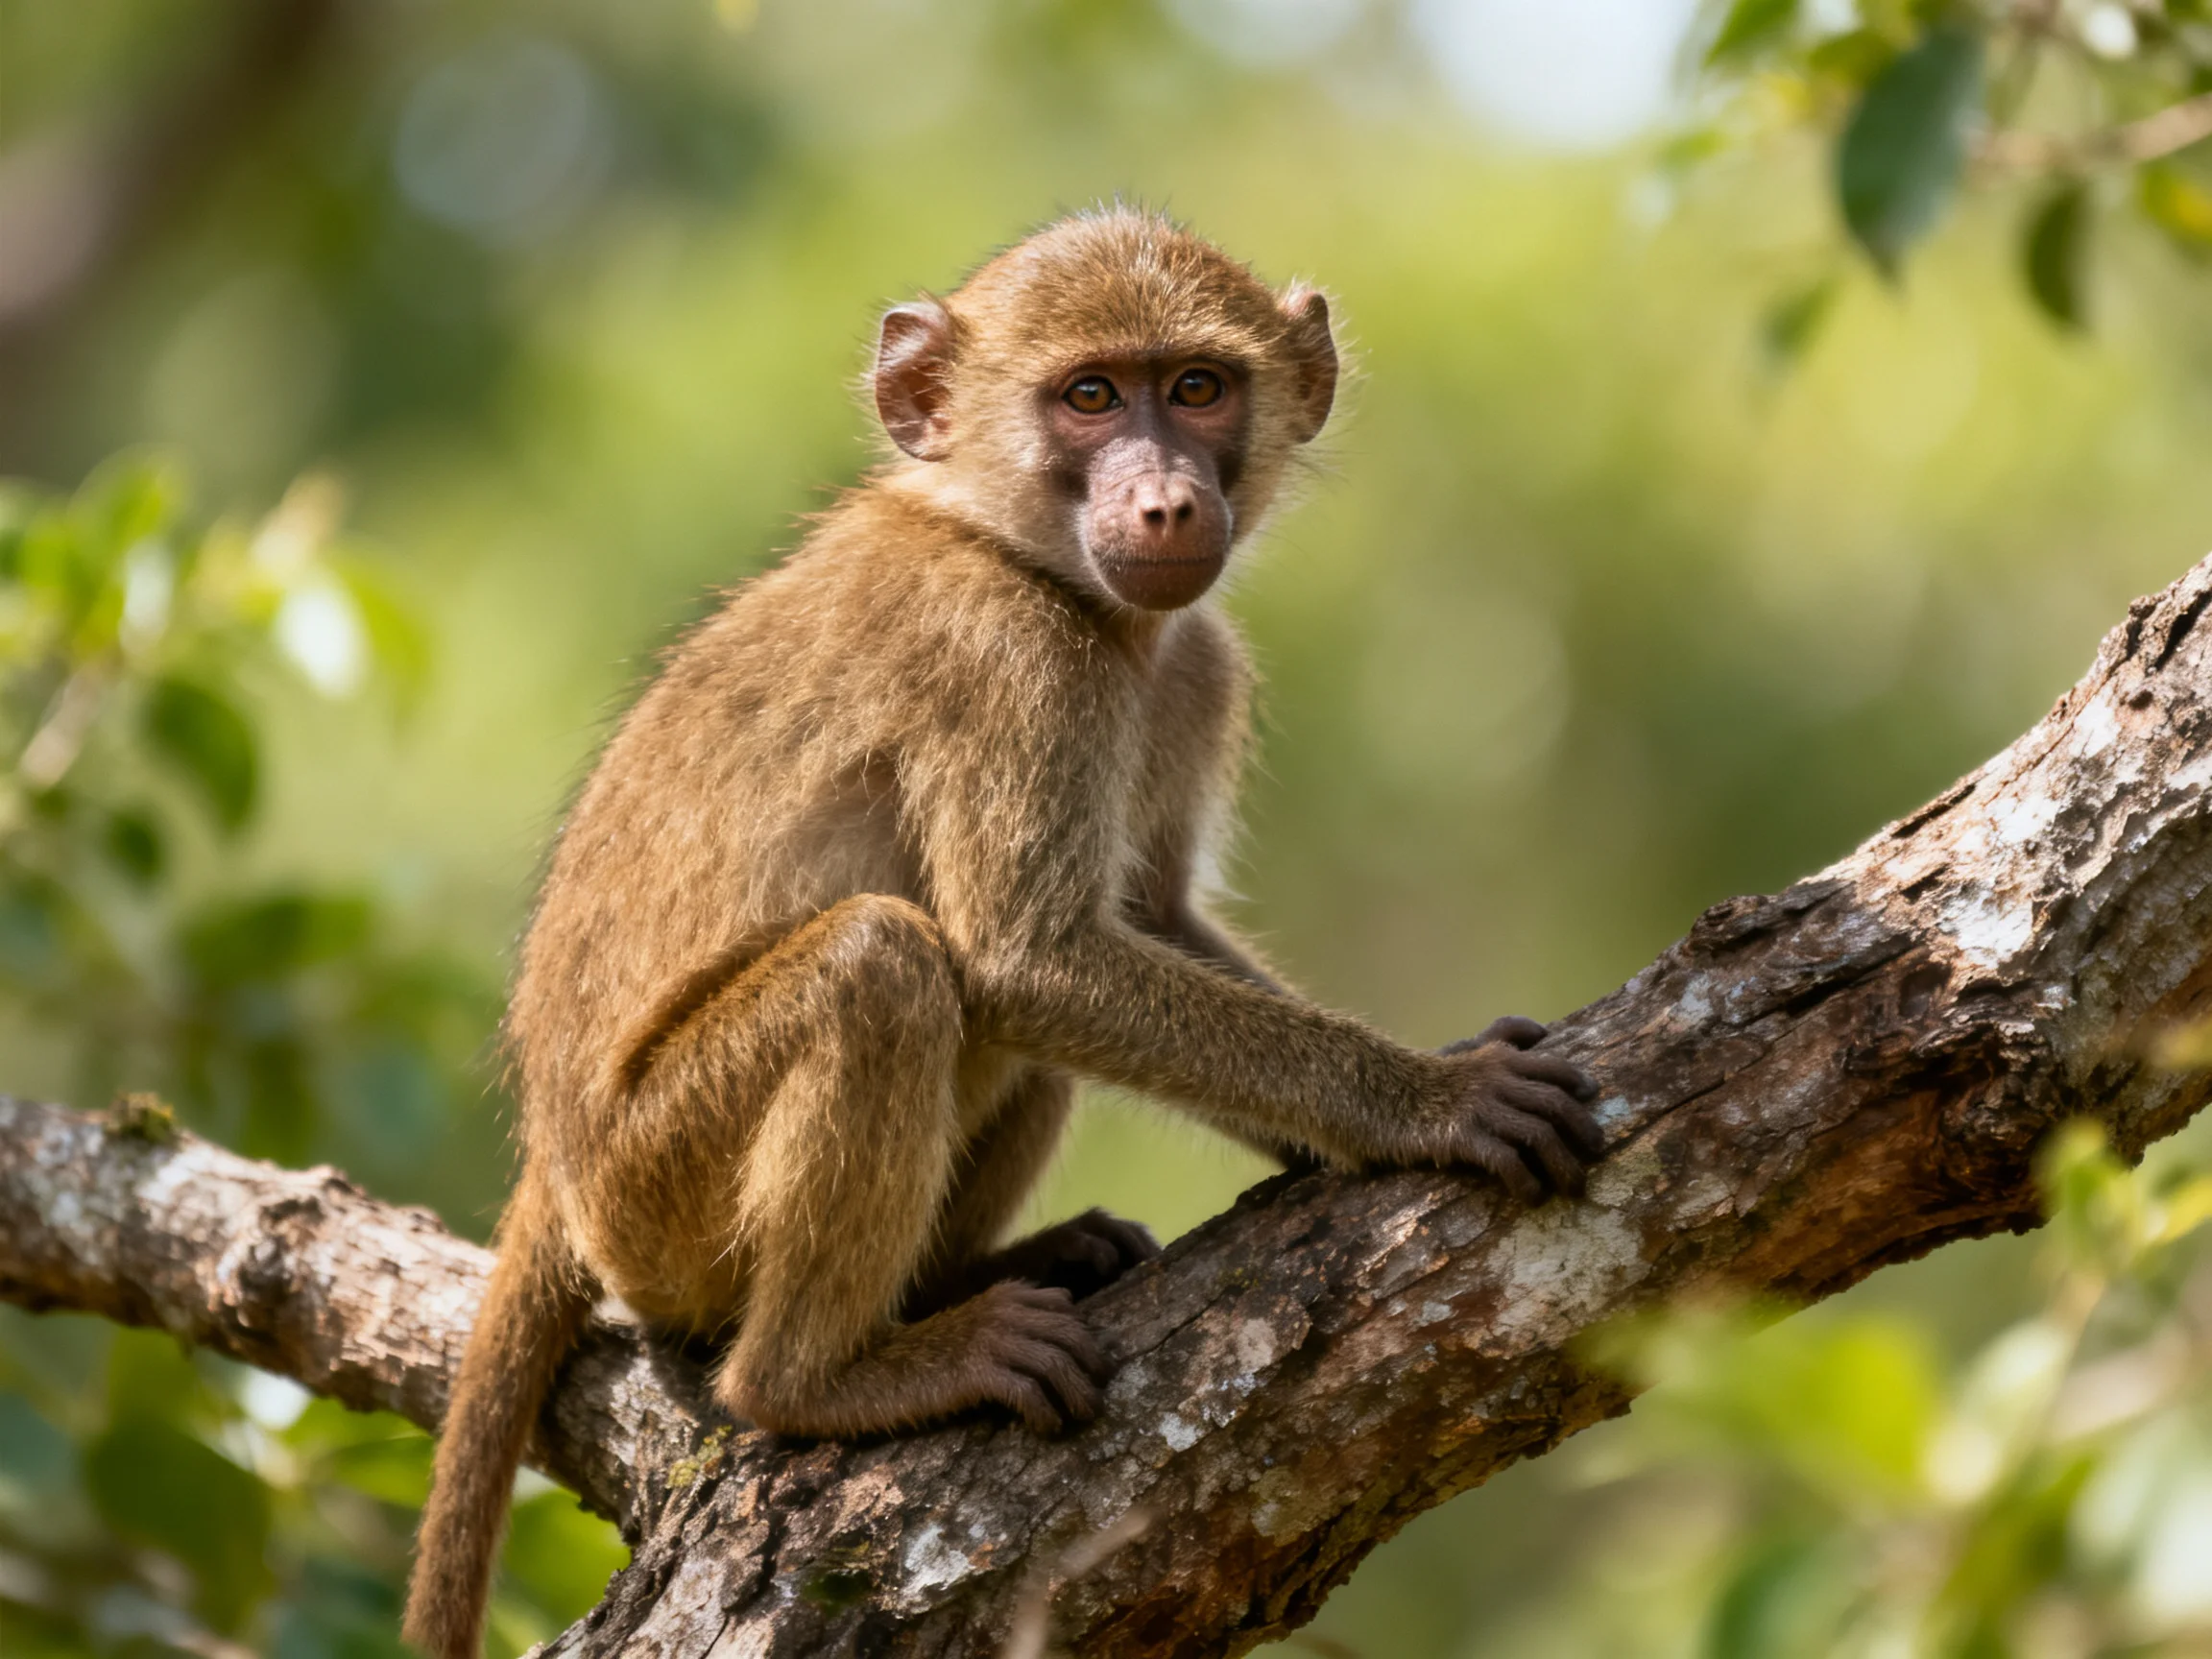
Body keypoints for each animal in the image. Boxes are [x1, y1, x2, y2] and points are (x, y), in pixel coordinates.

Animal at [401, 207, 1604, 1659]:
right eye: (1089, 398)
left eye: (1195, 387)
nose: (1166, 502)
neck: (1018, 551)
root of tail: (556, 1162)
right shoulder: (1010, 659)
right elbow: (1033, 958)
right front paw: (1438, 1100)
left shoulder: (1194, 666)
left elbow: (1139, 922)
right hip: (656, 1194)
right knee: (887, 970)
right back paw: (822, 1378)